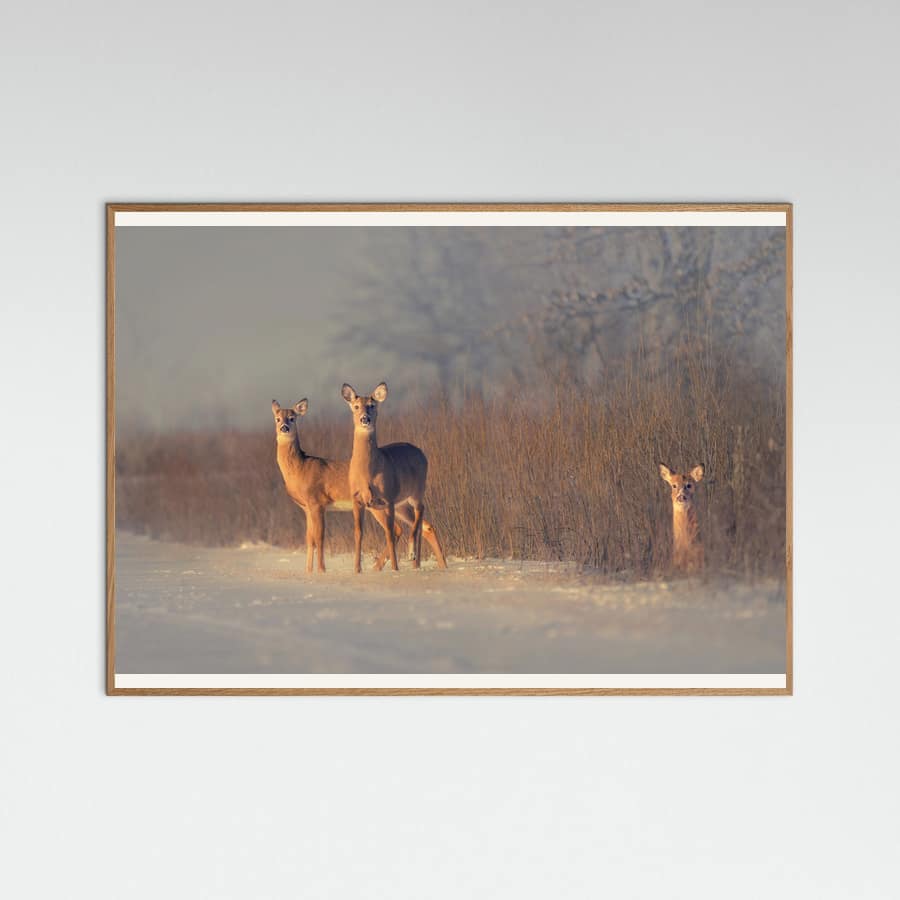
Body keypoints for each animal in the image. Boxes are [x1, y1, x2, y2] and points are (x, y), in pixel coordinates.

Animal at [341, 382, 447, 574]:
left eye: (372, 405)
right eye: (356, 406)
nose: (365, 419)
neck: (367, 473)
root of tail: (421, 453)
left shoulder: (388, 498)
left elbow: (389, 534)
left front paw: (395, 568)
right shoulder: (358, 499)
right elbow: (358, 533)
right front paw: (357, 569)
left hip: (416, 490)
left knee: (420, 512)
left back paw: (413, 555)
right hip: (400, 505)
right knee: (424, 525)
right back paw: (429, 564)